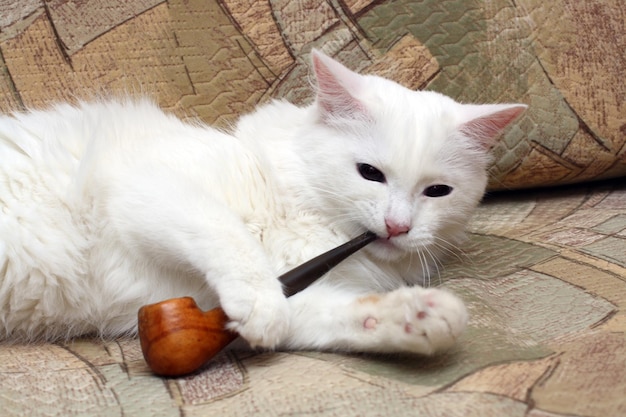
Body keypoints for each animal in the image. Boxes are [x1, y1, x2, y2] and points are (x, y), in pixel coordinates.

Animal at [0, 50, 524, 352]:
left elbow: (339, 313)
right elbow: (228, 237)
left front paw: (421, 315)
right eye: (370, 174)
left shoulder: (244, 296)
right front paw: (260, 302)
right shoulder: (147, 187)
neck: (309, 218)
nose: (398, 226)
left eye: (437, 192)